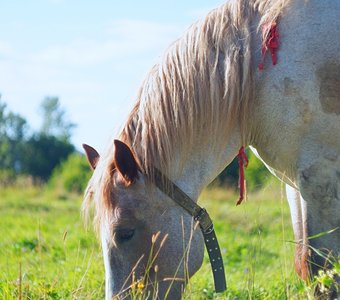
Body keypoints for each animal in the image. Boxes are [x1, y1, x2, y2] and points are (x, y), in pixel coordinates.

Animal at [83, 0, 340, 298]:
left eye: (124, 233)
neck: (259, 74)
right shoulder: (295, 183)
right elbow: (306, 265)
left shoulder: (319, 176)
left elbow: (321, 268)